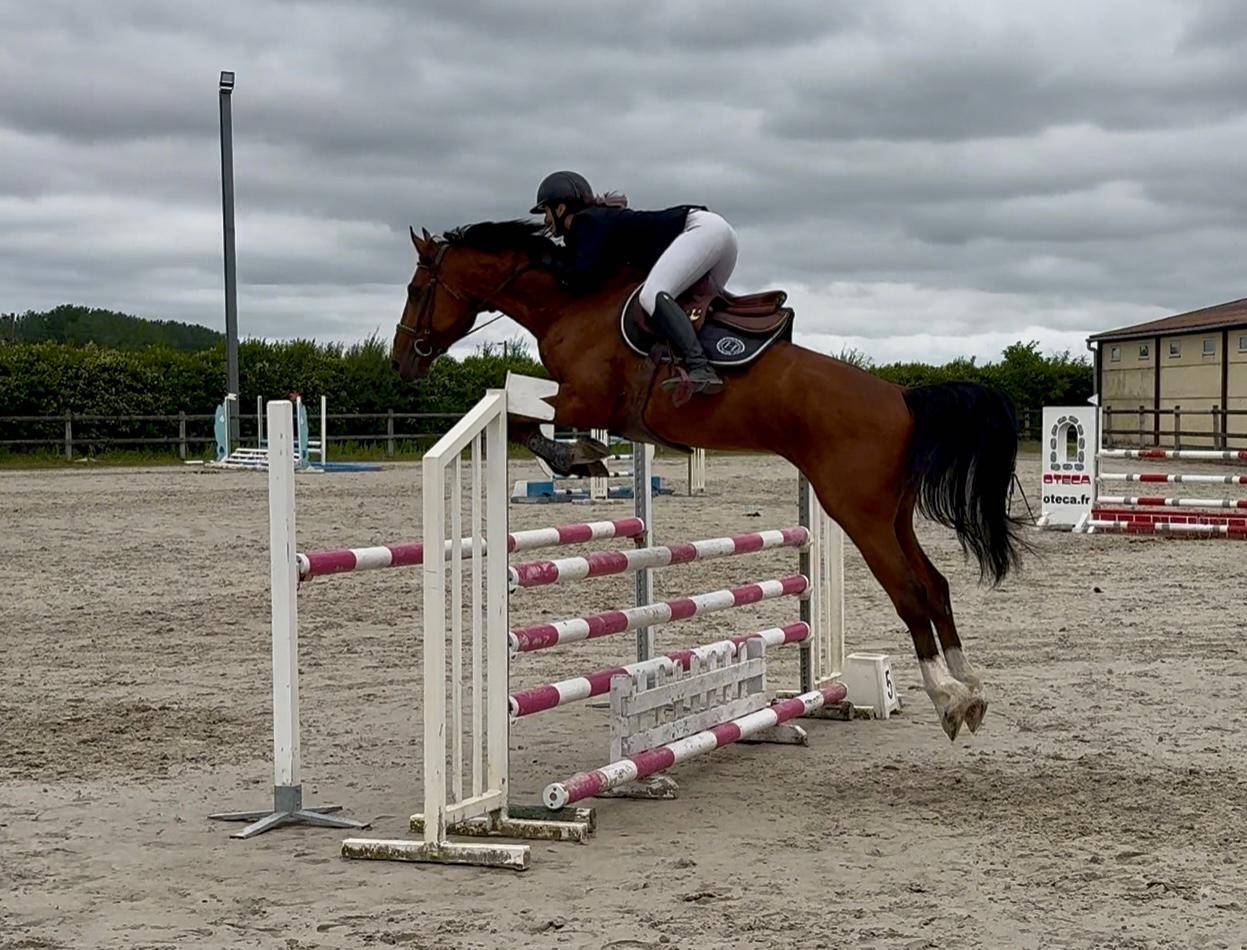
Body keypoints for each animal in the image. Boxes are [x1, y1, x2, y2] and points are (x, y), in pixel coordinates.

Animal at [392, 220, 1026, 741]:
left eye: (416, 289)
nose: (402, 362)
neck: (572, 305)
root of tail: (902, 397)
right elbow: (530, 419)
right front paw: (585, 458)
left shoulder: (584, 397)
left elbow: (526, 421)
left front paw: (579, 457)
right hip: (892, 514)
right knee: (936, 585)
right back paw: (972, 690)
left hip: (857, 512)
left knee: (911, 593)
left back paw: (948, 698)